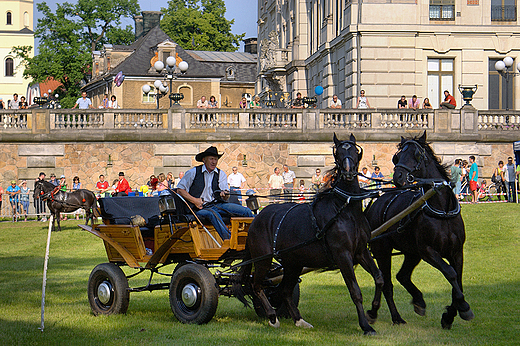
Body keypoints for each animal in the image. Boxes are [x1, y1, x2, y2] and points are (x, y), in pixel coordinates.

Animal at [240, 133, 382, 336]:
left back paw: (299, 320)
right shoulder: (343, 256)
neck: (345, 209)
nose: (348, 172)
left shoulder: (361, 252)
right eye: (338, 153)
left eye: (355, 151)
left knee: (284, 291)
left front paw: (373, 312)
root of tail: (257, 216)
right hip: (263, 260)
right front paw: (365, 325)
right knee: (256, 285)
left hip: (293, 263)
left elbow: (379, 278)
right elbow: (355, 291)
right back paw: (272, 317)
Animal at [364, 132, 474, 330]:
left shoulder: (456, 252)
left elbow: (458, 280)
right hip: (383, 250)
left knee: (402, 276)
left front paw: (450, 315)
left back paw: (417, 301)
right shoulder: (428, 251)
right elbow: (451, 273)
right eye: (397, 157)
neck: (443, 209)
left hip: (411, 252)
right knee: (385, 282)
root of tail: (376, 203)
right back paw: (389, 315)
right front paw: (463, 306)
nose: (398, 176)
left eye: (416, 154)